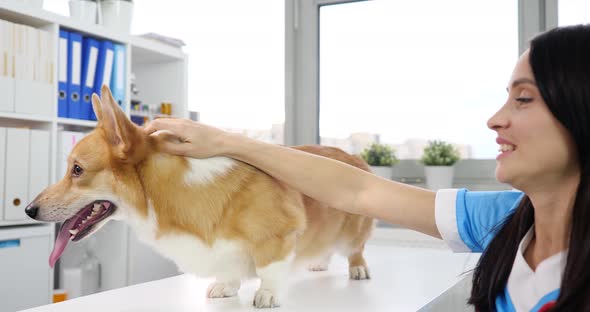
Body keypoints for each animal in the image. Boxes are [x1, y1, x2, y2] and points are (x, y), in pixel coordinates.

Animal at [25, 86, 374, 310]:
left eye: (77, 170)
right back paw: (318, 262)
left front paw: (267, 294)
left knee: (355, 249)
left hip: (354, 232)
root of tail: (355, 158)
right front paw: (226, 286)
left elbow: (269, 269)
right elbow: (230, 270)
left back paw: (357, 269)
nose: (29, 209)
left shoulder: (279, 234)